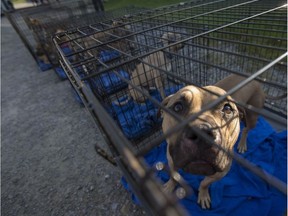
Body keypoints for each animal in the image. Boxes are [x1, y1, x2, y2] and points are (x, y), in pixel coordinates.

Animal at [53, 0, 286, 214]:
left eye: (227, 109)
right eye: (178, 107)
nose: (201, 134)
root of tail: (258, 81)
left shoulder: (222, 171)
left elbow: (204, 182)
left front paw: (202, 194)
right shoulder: (169, 154)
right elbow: (174, 175)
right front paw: (168, 186)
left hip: (253, 115)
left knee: (247, 130)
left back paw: (243, 143)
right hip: (141, 90)